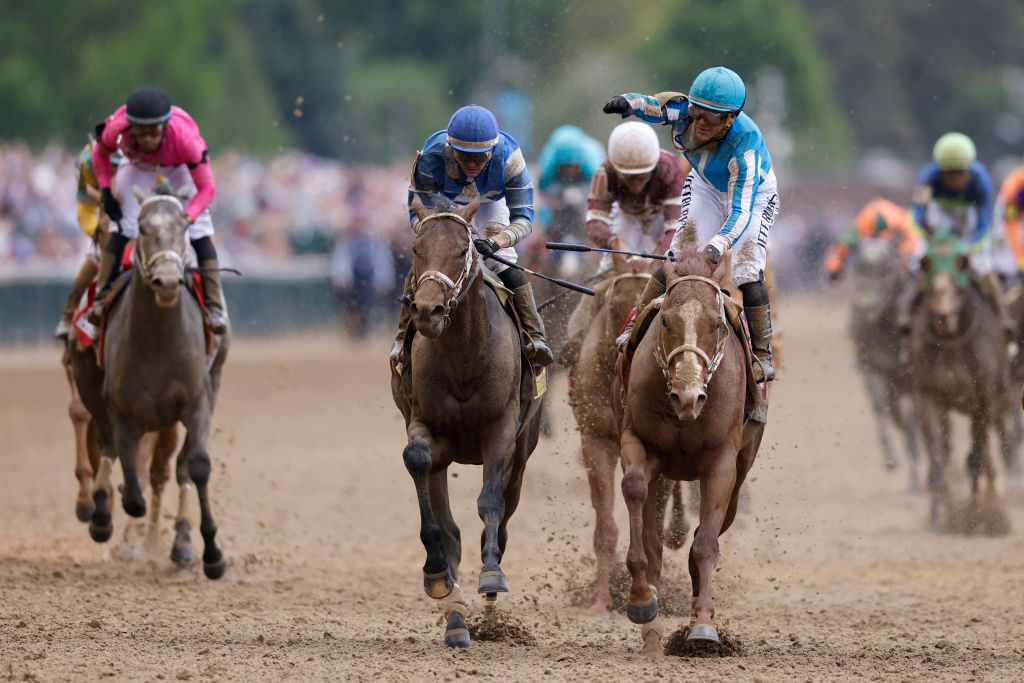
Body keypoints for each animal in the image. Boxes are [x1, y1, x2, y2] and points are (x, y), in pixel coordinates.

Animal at [88, 185, 230, 577]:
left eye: (185, 227)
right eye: (142, 227)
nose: (167, 281)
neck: (157, 340)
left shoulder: (197, 402)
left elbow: (196, 466)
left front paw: (212, 552)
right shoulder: (121, 409)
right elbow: (132, 485)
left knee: (177, 467)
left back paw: (182, 545)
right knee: (109, 448)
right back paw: (102, 517)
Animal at [389, 194, 544, 651]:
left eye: (463, 250)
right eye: (416, 249)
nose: (427, 310)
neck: (463, 355)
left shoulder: (501, 431)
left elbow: (490, 501)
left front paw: (491, 572)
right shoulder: (428, 429)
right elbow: (418, 461)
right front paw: (437, 576)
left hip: (523, 451)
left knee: (506, 509)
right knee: (450, 528)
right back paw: (456, 620)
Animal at [610, 228, 765, 655]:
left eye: (718, 325)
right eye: (664, 320)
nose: (688, 397)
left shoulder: (722, 462)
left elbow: (706, 543)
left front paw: (704, 627)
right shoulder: (638, 442)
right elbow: (635, 492)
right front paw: (642, 601)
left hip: (741, 467)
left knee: (709, 530)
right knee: (653, 537)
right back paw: (651, 635)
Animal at [843, 239, 925, 485]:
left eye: (886, 268)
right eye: (859, 266)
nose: (865, 306)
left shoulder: (910, 379)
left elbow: (910, 420)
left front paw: (916, 479)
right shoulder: (873, 369)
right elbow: (880, 408)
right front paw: (891, 459)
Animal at [913, 232, 1015, 532]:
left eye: (962, 262)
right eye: (925, 262)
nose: (943, 311)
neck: (951, 343)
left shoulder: (985, 398)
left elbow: (975, 459)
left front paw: (975, 517)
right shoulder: (929, 395)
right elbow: (938, 457)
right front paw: (938, 517)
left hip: (999, 398)